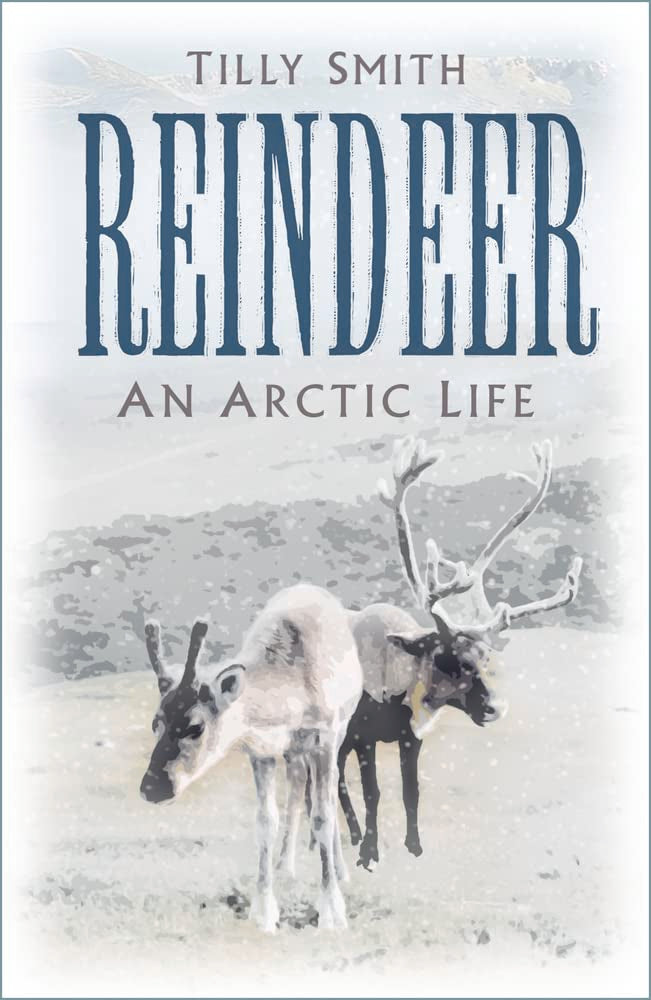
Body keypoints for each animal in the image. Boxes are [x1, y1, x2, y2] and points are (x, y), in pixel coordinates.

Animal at [139, 584, 363, 932]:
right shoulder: (261, 751)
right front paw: (264, 912)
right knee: (297, 782)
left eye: (195, 726)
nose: (152, 787)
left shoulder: (324, 737)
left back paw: (340, 871)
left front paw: (331, 911)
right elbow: (265, 821)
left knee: (328, 788)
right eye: (155, 722)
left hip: (340, 729)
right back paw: (286, 867)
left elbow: (322, 816)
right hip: (293, 751)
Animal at [336, 436, 583, 869]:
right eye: (449, 659)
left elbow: (411, 793)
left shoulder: (410, 738)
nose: (495, 707)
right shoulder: (364, 736)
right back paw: (345, 836)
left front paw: (414, 847)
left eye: (486, 658)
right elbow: (373, 793)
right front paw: (370, 853)